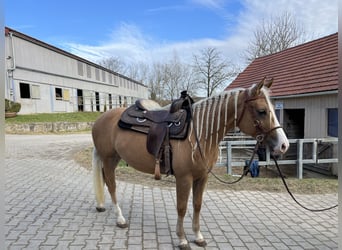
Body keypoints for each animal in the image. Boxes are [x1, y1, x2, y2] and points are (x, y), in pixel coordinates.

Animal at [91, 77, 288, 248]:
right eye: (262, 111)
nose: (283, 145)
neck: (199, 133)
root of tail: (100, 119)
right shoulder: (184, 178)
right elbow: (182, 207)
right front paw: (182, 239)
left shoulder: (202, 177)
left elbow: (197, 205)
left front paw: (198, 236)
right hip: (108, 158)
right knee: (111, 185)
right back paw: (120, 219)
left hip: (114, 158)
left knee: (105, 180)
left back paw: (102, 206)